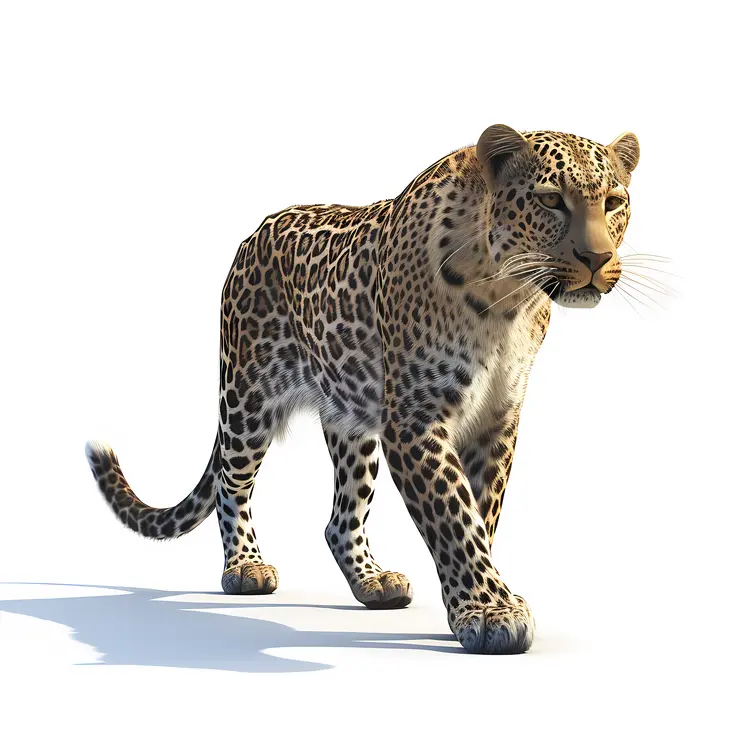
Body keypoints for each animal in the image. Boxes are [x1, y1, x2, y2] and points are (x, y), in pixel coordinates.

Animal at [86, 124, 639, 654]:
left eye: (613, 202)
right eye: (550, 199)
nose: (597, 259)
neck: (509, 298)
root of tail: (257, 230)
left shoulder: (496, 418)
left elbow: (481, 514)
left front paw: (473, 604)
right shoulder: (415, 420)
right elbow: (454, 514)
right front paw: (490, 613)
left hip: (350, 419)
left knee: (339, 519)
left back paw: (373, 582)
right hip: (247, 397)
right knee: (230, 482)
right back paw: (245, 566)